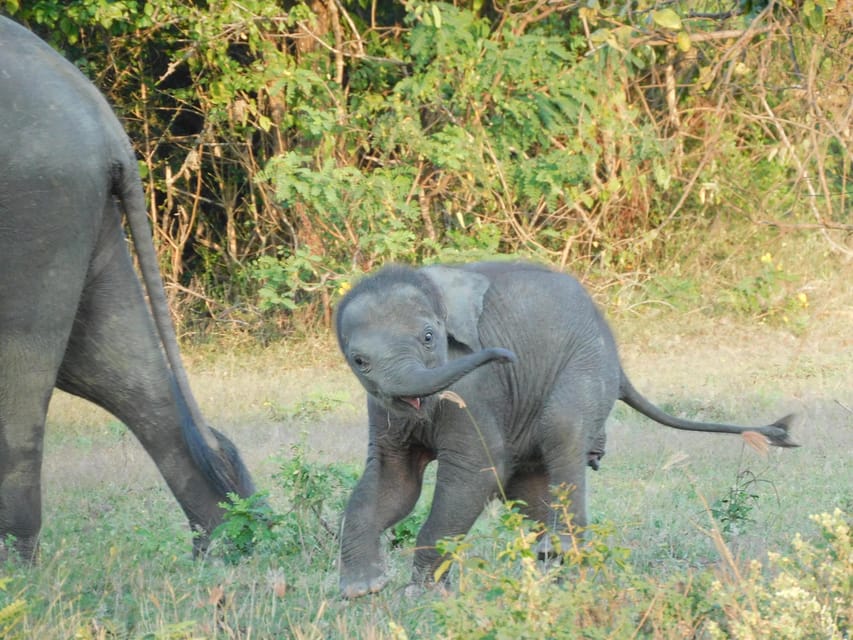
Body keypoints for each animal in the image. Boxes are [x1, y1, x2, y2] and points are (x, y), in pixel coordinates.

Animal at [0, 17, 255, 564]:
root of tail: (106, 125)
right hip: (75, 214)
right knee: (112, 370)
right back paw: (230, 543)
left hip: (36, 210)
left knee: (25, 370)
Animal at [334, 262, 800, 600]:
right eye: (360, 362)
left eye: (430, 337)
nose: (506, 356)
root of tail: (619, 361)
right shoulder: (383, 408)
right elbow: (394, 482)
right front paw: (362, 590)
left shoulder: (477, 390)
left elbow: (474, 471)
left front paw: (420, 595)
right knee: (529, 483)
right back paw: (560, 566)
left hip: (588, 365)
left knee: (563, 429)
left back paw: (560, 552)